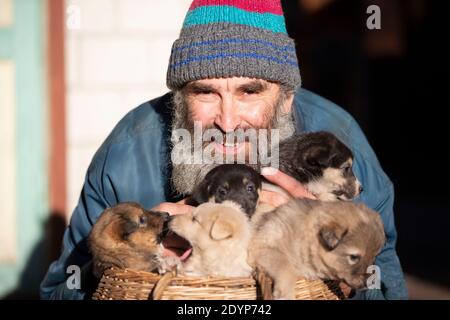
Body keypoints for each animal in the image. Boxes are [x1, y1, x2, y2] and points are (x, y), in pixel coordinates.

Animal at [248, 200, 384, 300]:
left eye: (374, 257)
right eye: (353, 257)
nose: (372, 283)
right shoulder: (263, 247)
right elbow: (286, 267)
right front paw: (286, 293)